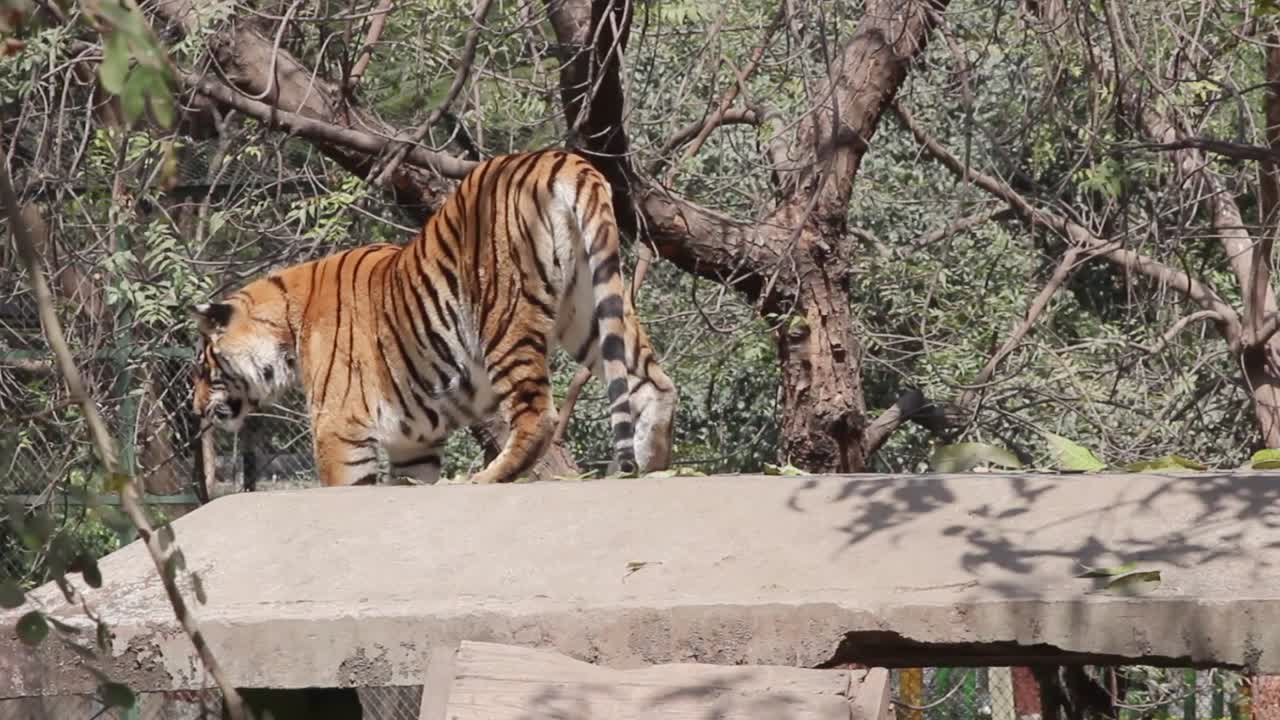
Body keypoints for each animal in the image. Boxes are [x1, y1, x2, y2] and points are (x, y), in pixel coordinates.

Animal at [191, 149, 677, 487]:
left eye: (203, 368)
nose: (196, 409)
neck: (288, 323)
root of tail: (560, 158)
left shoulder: (340, 430)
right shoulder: (413, 444)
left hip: (502, 315)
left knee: (538, 414)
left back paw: (485, 478)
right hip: (589, 307)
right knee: (654, 383)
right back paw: (654, 468)